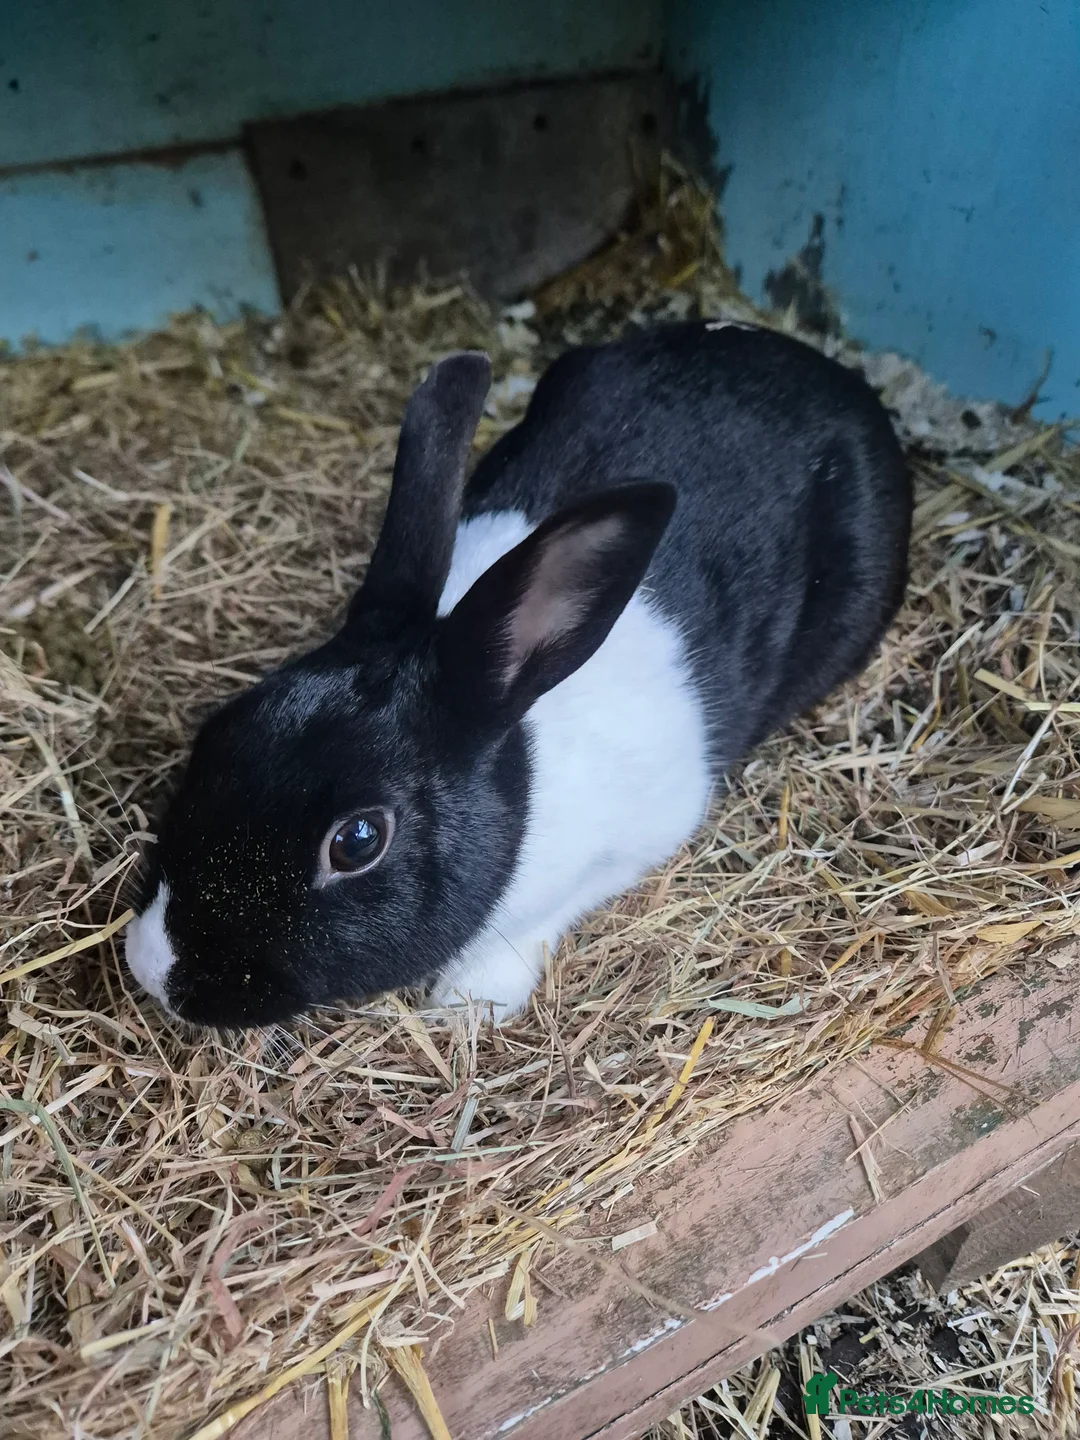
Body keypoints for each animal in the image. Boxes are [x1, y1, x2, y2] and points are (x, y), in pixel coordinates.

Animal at [125, 320, 912, 1029]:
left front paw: (467, 1006)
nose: (153, 969)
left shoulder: (645, 831)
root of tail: (820, 368)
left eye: (357, 842)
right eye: (219, 729)